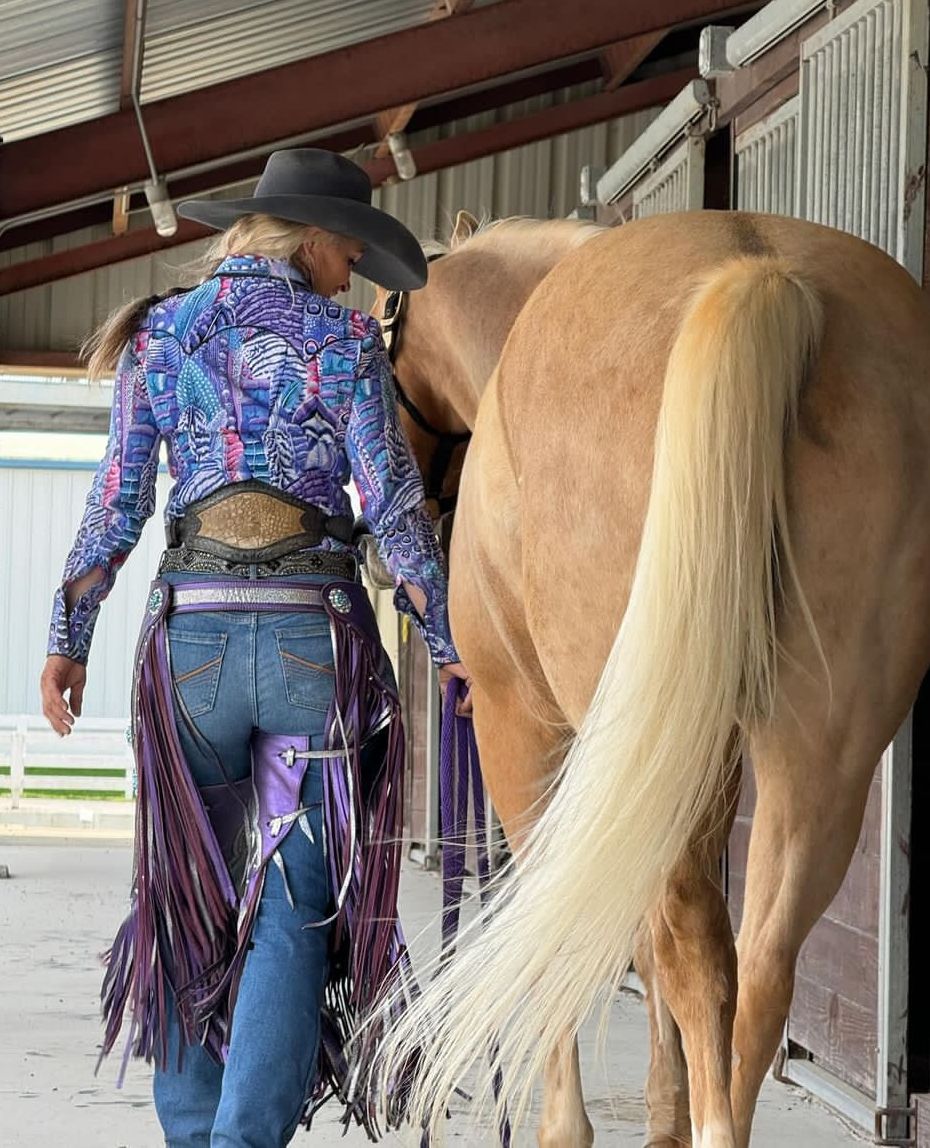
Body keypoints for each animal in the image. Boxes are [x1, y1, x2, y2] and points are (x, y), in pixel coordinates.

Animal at [374, 208, 927, 1148]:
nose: (380, 558)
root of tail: (762, 277)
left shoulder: (528, 732)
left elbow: (564, 924)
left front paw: (568, 1125)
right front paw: (665, 1114)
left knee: (694, 946)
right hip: (819, 748)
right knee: (759, 964)